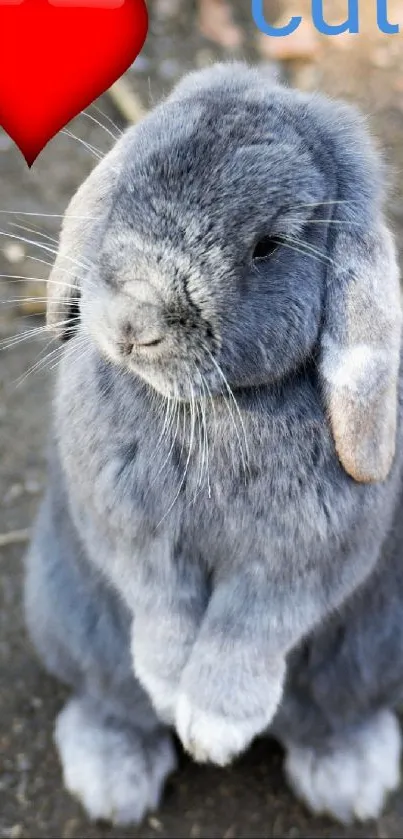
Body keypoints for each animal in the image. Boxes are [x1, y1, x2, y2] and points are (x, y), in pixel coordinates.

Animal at [25, 65, 403, 828]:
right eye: (125, 184)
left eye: (268, 245)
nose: (133, 323)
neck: (209, 409)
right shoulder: (130, 535)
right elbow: (162, 607)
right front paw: (173, 691)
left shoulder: (297, 564)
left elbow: (247, 628)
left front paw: (214, 728)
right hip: (68, 617)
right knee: (112, 700)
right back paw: (112, 779)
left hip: (372, 654)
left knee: (331, 716)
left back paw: (349, 778)